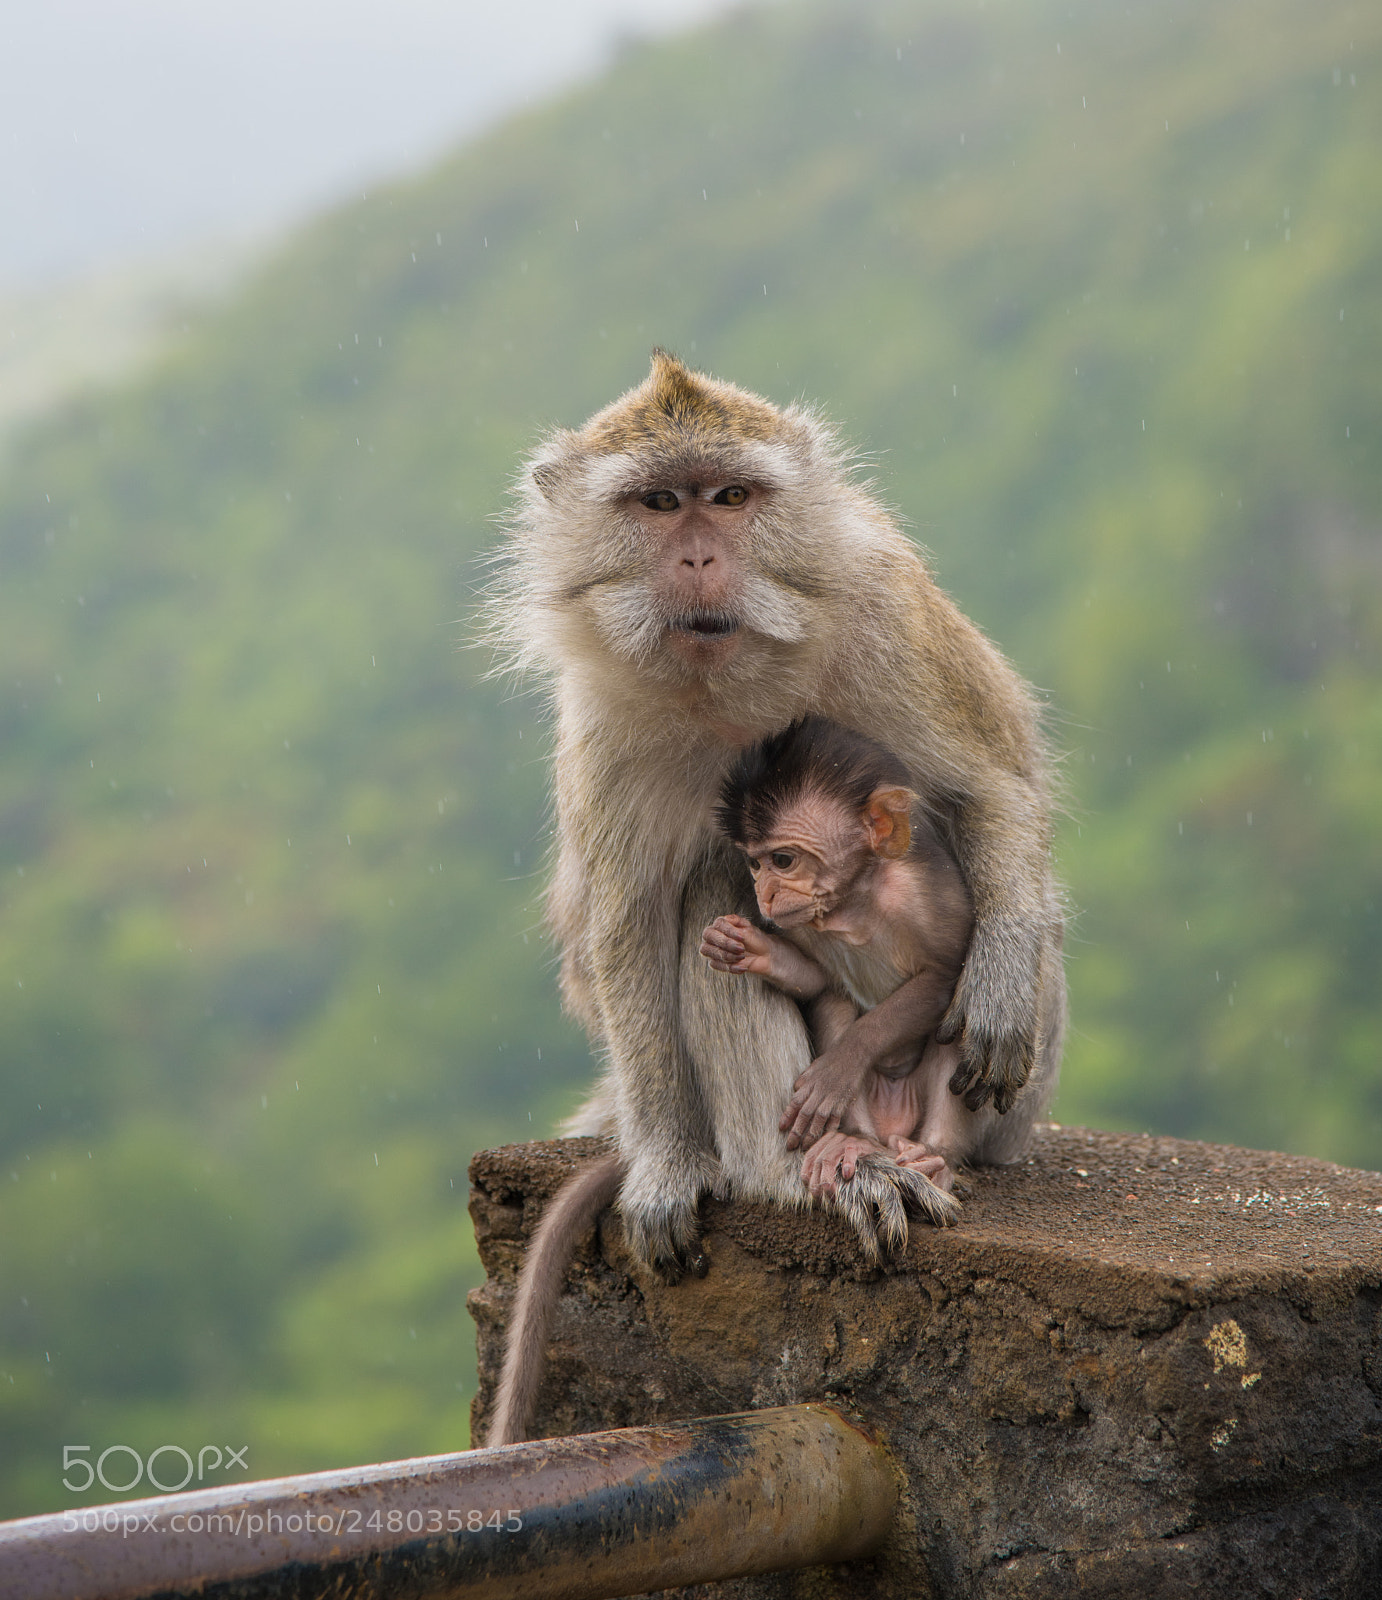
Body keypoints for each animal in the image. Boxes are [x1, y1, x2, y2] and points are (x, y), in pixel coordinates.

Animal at [701, 715, 986, 1222]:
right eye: (754, 863)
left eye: (782, 860)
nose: (764, 895)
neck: (853, 902)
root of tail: (894, 1121)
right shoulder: (805, 924)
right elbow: (822, 981)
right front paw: (751, 948)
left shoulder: (931, 897)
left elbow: (943, 979)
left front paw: (839, 1067)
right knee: (835, 1001)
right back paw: (852, 1143)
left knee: (956, 1029)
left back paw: (935, 1160)